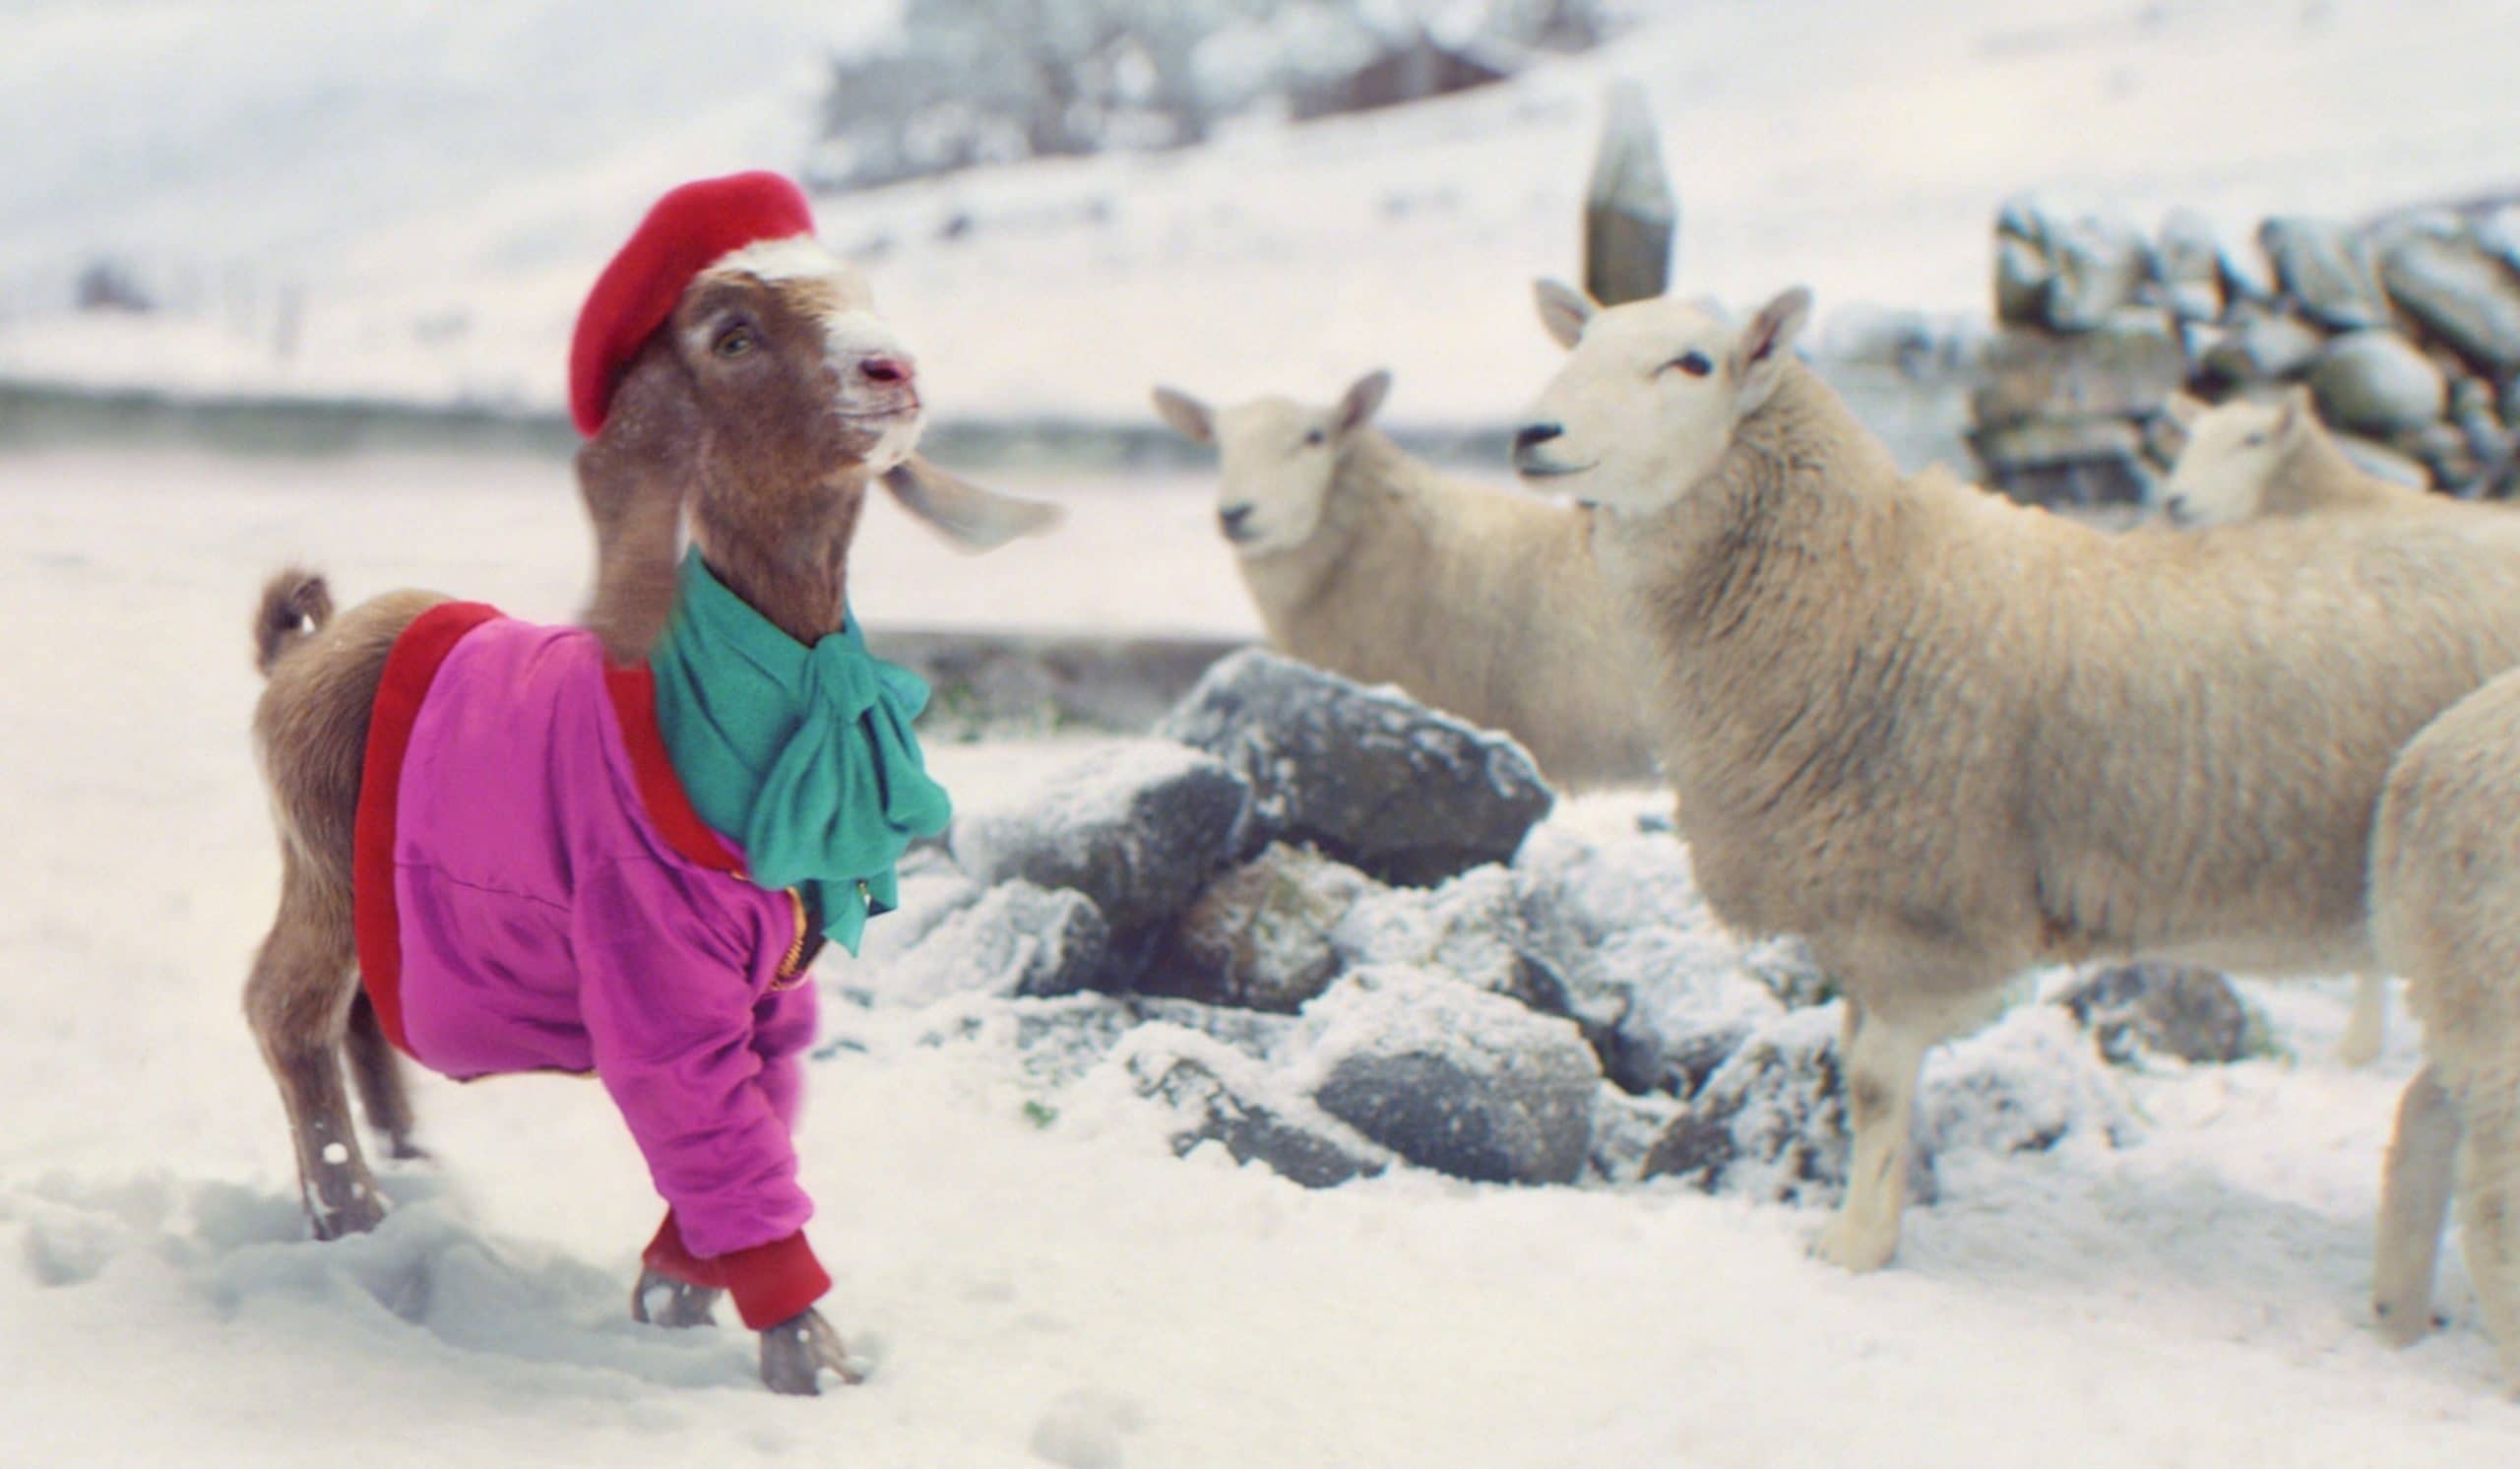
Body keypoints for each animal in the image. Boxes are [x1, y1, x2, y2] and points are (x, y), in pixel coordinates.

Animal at [240, 237, 1047, 1390]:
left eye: (857, 291)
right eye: (732, 338)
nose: (890, 368)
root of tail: (296, 651)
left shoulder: (770, 995)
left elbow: (753, 1128)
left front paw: (674, 1300)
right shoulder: (654, 970)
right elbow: (716, 1139)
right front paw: (815, 1366)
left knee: (353, 1012)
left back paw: (407, 1162)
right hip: (320, 862)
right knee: (286, 1008)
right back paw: (354, 1210)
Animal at [1512, 282, 2520, 1280]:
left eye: (1692, 363)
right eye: (1582, 341)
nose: (1533, 432)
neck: (1871, 587)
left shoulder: (1926, 905)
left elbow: (1873, 1082)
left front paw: (1855, 1247)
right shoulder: (1863, 906)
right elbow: (1854, 1062)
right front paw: (1870, 1224)